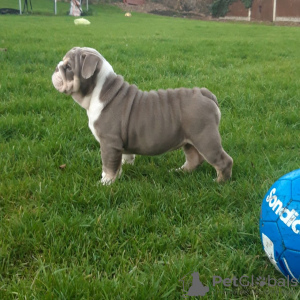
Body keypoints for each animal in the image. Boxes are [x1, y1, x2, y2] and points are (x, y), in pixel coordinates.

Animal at [52, 47, 233, 184]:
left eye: (68, 67)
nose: (55, 67)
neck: (101, 89)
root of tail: (203, 93)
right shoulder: (119, 145)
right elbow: (123, 158)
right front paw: (123, 170)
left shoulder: (109, 143)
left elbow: (108, 165)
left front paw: (105, 182)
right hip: (189, 139)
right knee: (194, 158)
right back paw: (180, 172)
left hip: (205, 139)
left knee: (223, 161)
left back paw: (219, 182)